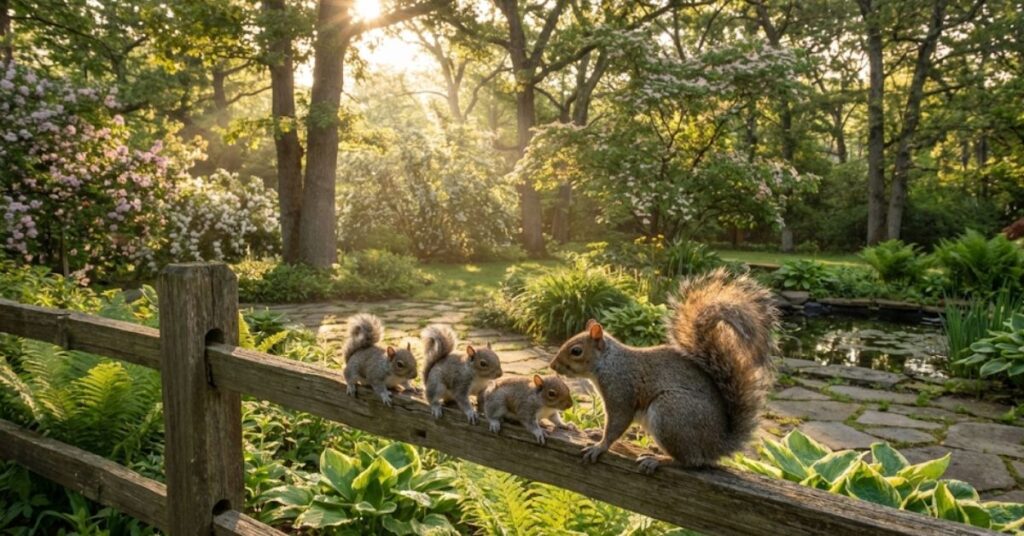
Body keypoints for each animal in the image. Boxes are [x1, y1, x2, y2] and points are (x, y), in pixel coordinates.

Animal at [550, 268, 777, 473]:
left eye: (576, 351)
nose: (552, 366)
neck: (608, 363)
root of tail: (718, 444)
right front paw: (596, 433)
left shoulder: (621, 391)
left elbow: (617, 424)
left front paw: (599, 447)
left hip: (670, 414)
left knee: (691, 462)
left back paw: (658, 459)